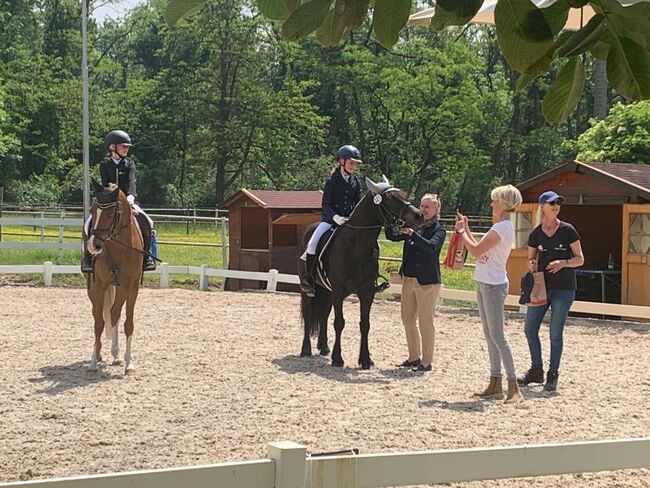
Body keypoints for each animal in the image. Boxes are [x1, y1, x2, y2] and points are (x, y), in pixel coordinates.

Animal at [85, 179, 144, 374]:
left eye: (111, 213)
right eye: (92, 210)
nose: (93, 246)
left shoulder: (130, 286)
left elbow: (126, 322)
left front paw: (129, 363)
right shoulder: (99, 285)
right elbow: (99, 323)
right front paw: (93, 361)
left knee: (114, 314)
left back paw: (117, 356)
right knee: (102, 314)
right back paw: (100, 354)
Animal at [298, 176, 420, 370]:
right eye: (391, 198)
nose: (419, 215)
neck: (356, 245)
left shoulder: (366, 292)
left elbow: (365, 324)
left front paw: (365, 359)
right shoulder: (339, 291)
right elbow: (339, 322)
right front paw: (337, 358)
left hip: (328, 290)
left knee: (324, 314)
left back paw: (324, 347)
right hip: (308, 289)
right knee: (309, 314)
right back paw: (306, 349)